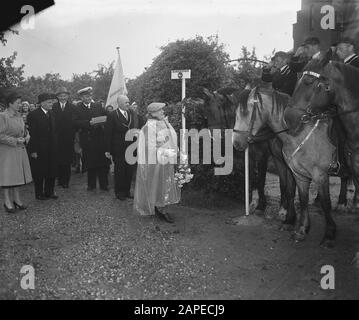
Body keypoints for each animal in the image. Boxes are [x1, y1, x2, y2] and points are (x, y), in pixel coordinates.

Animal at [233, 86, 338, 246]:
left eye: (245, 112)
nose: (237, 143)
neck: (297, 132)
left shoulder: (319, 174)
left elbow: (325, 203)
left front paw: (329, 235)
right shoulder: (289, 167)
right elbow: (293, 193)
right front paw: (293, 222)